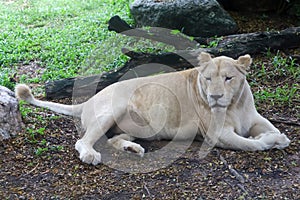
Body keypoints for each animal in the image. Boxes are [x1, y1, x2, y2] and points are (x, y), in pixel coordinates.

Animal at [15, 52, 290, 165]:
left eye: (228, 78)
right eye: (208, 78)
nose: (215, 96)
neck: (235, 104)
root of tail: (88, 101)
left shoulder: (254, 118)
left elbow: (270, 127)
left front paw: (279, 136)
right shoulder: (217, 134)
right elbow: (250, 145)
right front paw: (270, 141)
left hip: (139, 127)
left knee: (112, 140)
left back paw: (134, 149)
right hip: (112, 109)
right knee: (83, 141)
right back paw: (91, 155)